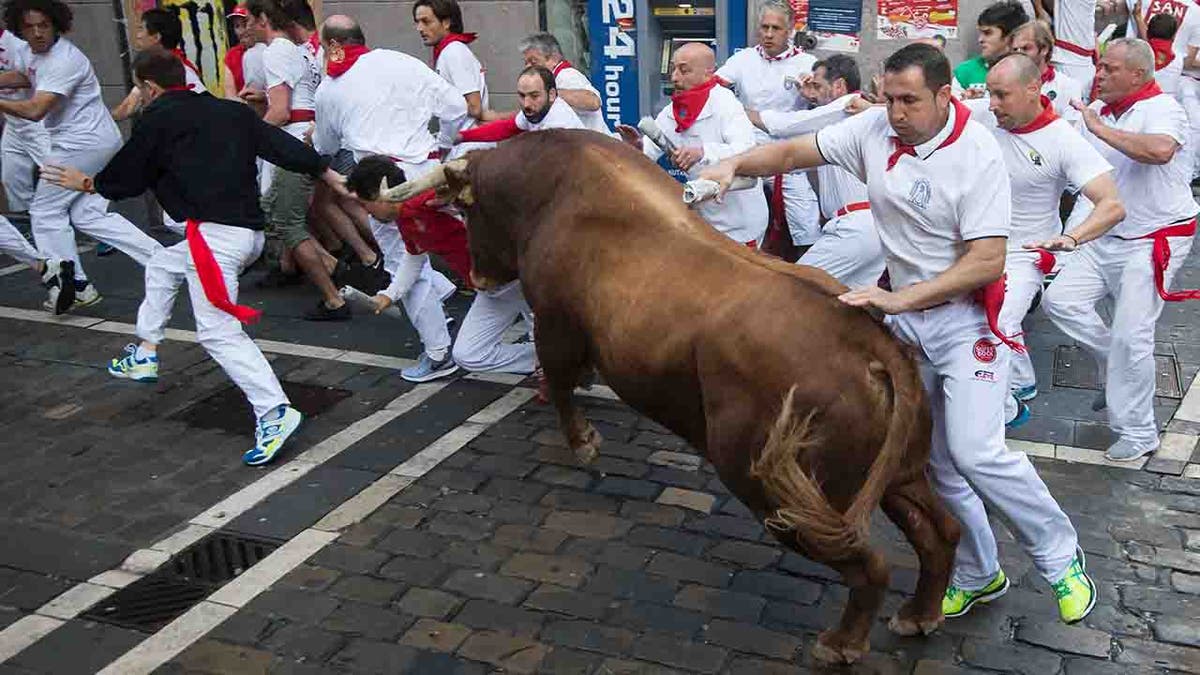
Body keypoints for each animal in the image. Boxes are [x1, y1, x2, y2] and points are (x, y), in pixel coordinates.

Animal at [379, 127, 960, 662]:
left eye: (467, 212)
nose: (477, 277)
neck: (553, 190)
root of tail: (870, 341)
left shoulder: (555, 326)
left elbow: (561, 382)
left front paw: (584, 442)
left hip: (776, 485)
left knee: (870, 563)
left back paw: (842, 643)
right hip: (892, 474)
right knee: (941, 531)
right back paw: (920, 614)